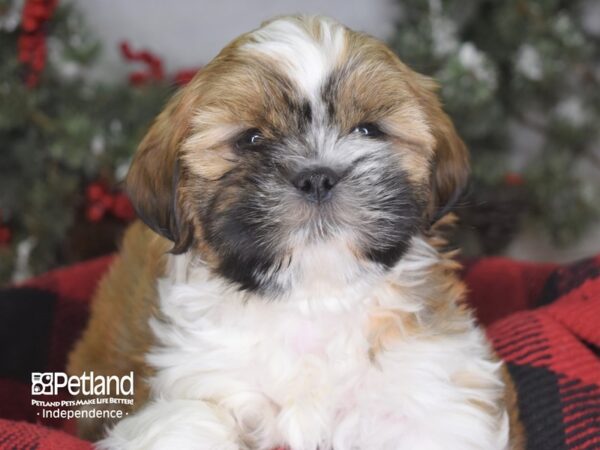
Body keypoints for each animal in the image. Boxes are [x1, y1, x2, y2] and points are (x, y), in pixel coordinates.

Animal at [68, 14, 524, 450]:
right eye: (251, 139)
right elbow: (189, 420)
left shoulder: (434, 393)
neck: (312, 299)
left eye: (367, 130)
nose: (317, 177)